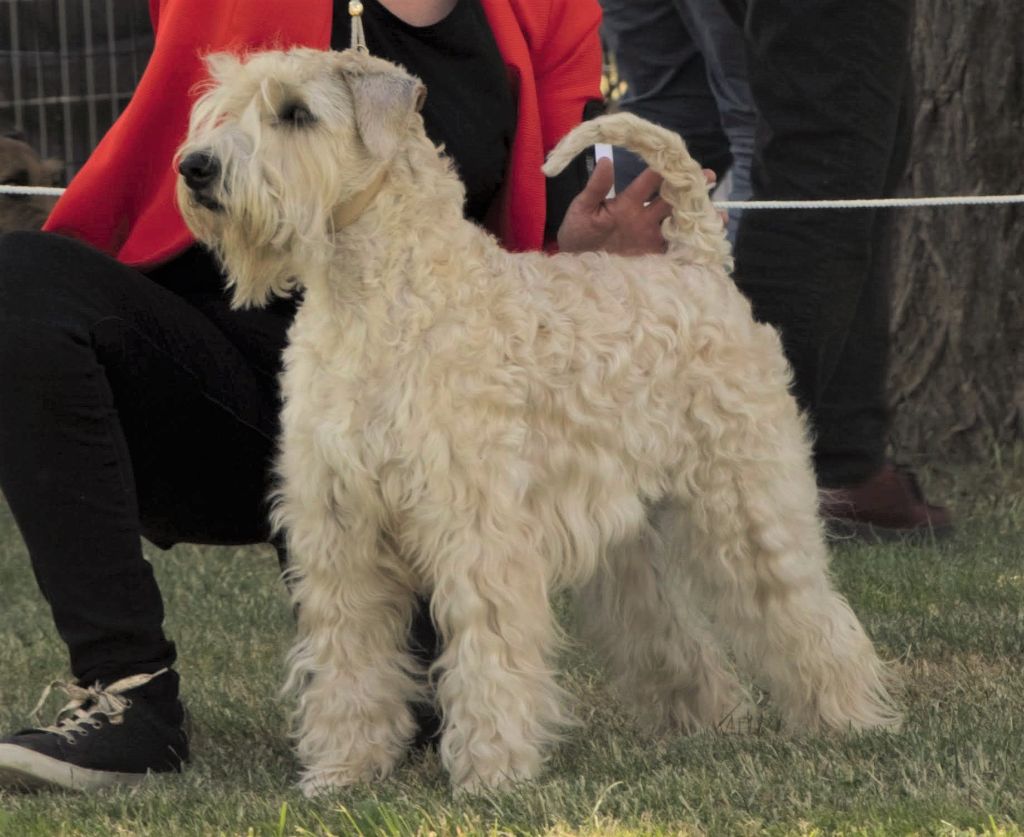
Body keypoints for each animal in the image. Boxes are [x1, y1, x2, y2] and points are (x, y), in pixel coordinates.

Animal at [180, 48, 901, 794]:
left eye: (295, 112)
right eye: (223, 107)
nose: (195, 167)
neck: (376, 298)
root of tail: (700, 264)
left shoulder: (474, 525)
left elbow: (487, 646)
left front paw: (491, 772)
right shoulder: (339, 531)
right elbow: (350, 658)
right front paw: (344, 768)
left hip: (747, 502)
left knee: (803, 610)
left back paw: (849, 719)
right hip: (630, 536)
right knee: (670, 630)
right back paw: (707, 721)